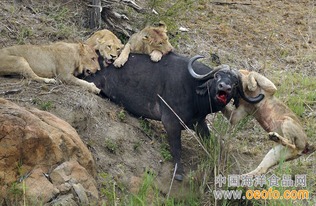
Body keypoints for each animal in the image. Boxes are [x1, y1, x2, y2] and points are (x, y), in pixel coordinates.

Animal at [84, 52, 264, 180]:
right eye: (217, 76)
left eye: (235, 83)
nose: (224, 87)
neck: (194, 91)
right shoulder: (171, 121)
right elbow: (177, 147)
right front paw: (178, 173)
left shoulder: (199, 122)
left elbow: (210, 142)